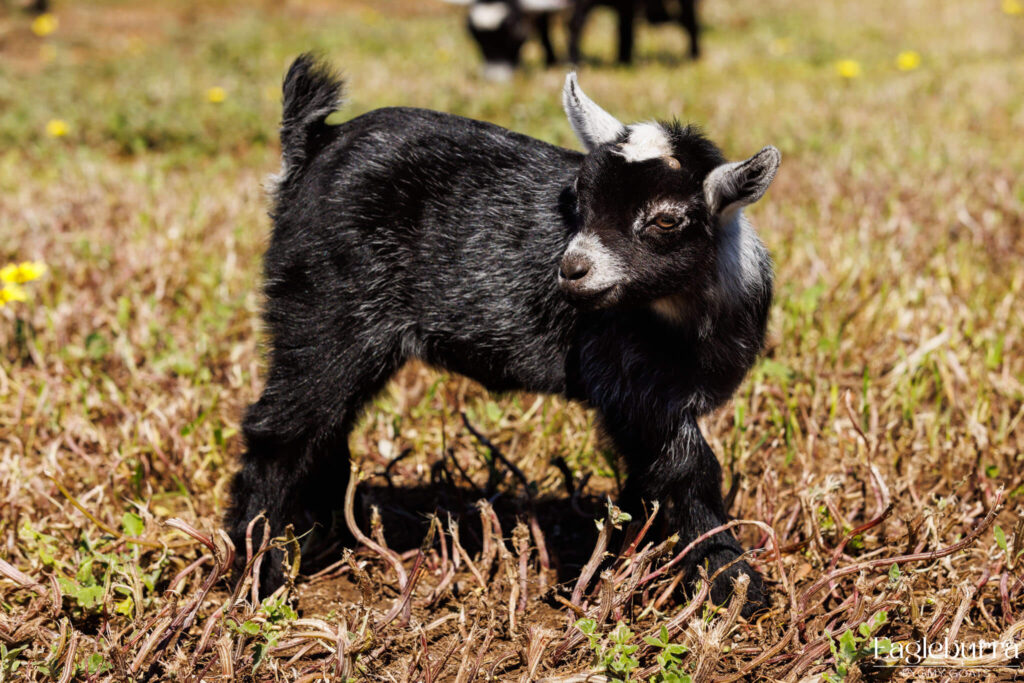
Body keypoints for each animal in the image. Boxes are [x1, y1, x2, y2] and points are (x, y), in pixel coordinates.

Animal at [226, 54, 780, 612]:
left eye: (666, 220)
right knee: (282, 431)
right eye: (580, 198)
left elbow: (650, 478)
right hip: (323, 309)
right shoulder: (636, 386)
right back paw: (258, 574)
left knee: (326, 427)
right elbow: (690, 469)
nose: (571, 270)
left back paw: (336, 536)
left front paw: (628, 563)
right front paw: (734, 583)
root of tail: (314, 145)